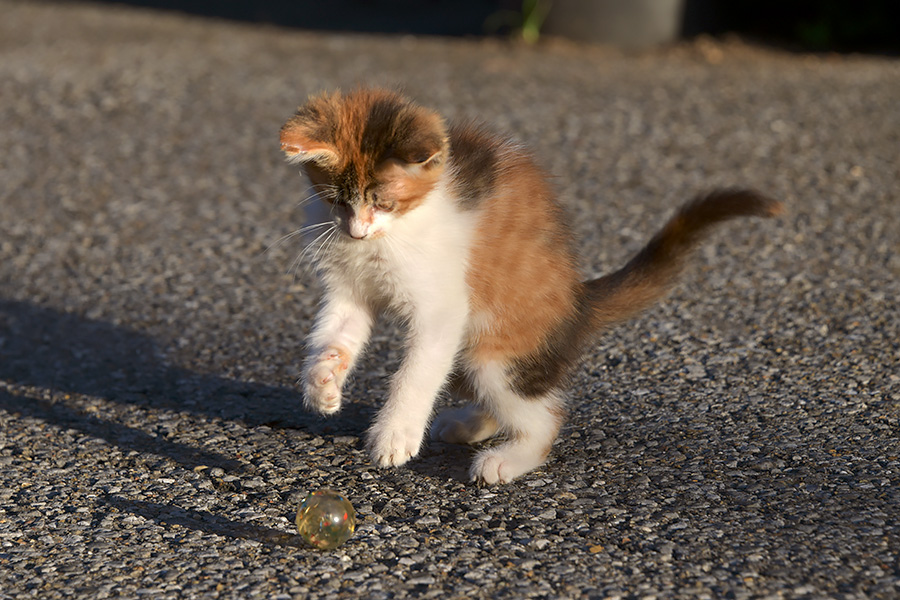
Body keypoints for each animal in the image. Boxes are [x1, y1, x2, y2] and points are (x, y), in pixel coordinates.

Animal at [280, 88, 780, 482]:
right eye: (335, 201)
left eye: (383, 201)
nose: (356, 231)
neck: (388, 236)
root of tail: (579, 299)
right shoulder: (349, 287)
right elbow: (335, 333)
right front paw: (323, 383)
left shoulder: (443, 305)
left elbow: (416, 372)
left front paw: (394, 433)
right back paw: (471, 425)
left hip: (497, 346)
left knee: (543, 416)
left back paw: (507, 458)